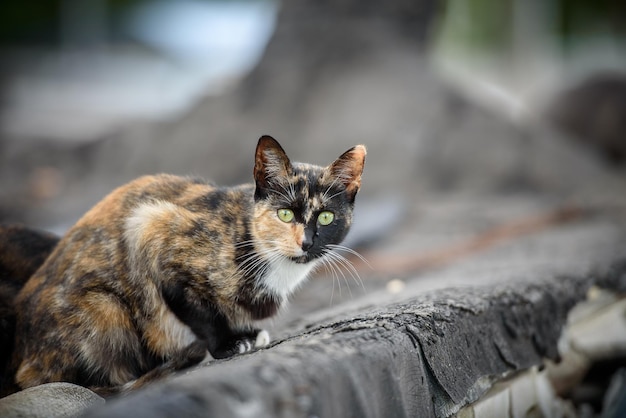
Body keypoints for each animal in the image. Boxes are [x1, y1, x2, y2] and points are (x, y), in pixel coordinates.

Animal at [6, 136, 366, 396]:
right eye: (286, 214)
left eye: (326, 217)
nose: (306, 242)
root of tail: (23, 356)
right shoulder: (151, 229)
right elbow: (201, 313)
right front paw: (228, 344)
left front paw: (246, 334)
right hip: (104, 306)